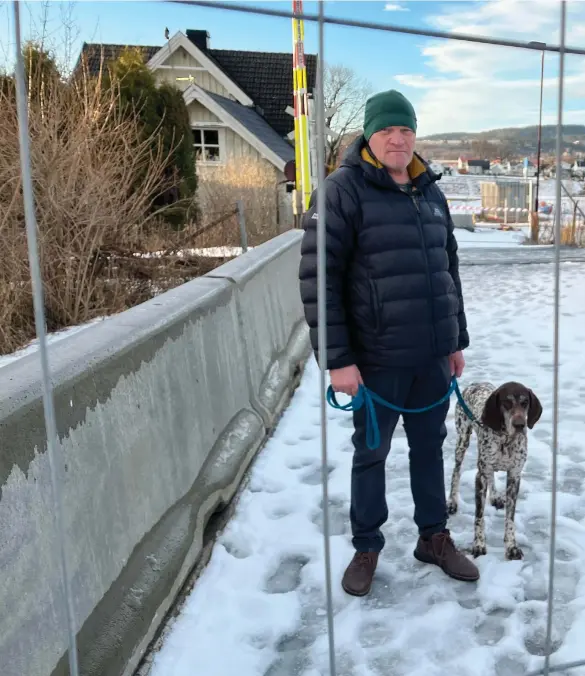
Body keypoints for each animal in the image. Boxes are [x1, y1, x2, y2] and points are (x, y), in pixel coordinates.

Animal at [448, 382, 544, 564]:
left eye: (525, 402)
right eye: (506, 403)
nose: (519, 425)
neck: (505, 440)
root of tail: (474, 383)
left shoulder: (514, 477)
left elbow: (510, 518)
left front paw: (511, 547)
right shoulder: (480, 476)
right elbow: (479, 517)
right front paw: (478, 545)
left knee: (491, 477)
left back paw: (495, 496)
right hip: (462, 440)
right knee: (456, 472)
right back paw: (452, 501)